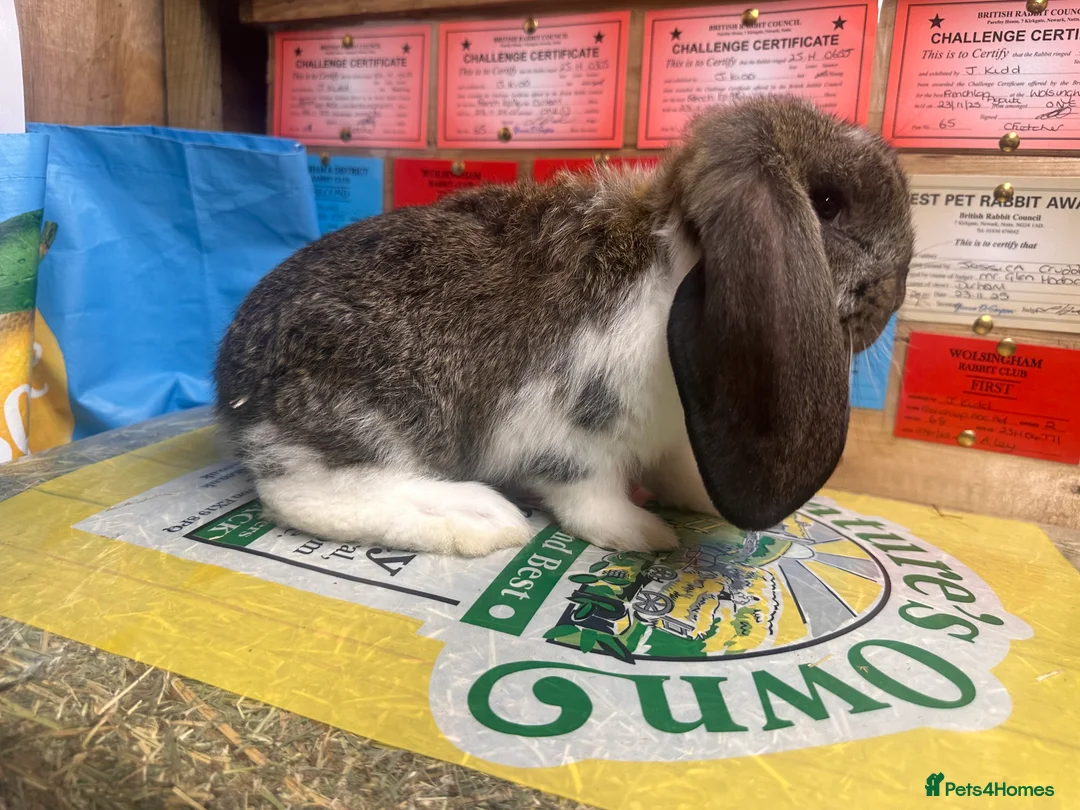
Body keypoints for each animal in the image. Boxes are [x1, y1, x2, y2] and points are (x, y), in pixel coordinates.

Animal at [215, 96, 914, 558]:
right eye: (827, 203)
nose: (892, 298)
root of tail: (232, 385)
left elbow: (677, 470)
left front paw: (695, 499)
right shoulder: (571, 433)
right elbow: (588, 495)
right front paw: (642, 535)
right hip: (370, 412)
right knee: (306, 492)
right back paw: (479, 518)